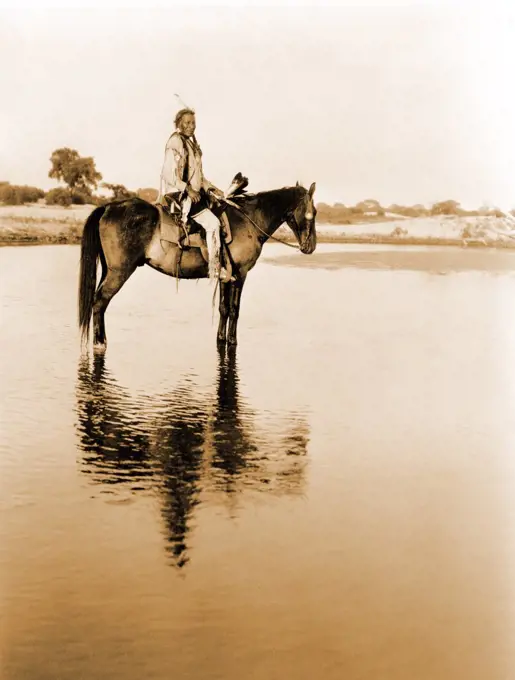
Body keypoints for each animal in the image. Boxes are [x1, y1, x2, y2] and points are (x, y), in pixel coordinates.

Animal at [78, 181, 316, 350]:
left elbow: (224, 308)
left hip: (108, 270)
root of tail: (107, 208)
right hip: (119, 272)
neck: (249, 220)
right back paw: (100, 342)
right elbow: (235, 309)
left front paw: (221, 339)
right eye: (312, 213)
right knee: (100, 302)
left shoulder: (226, 276)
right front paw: (233, 341)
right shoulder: (241, 274)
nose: (311, 246)